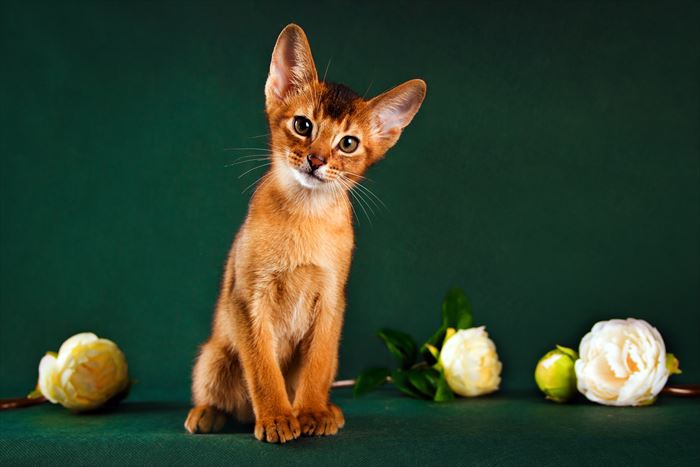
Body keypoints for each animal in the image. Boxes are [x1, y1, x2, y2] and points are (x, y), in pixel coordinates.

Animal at [186, 24, 424, 442]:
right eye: (303, 125)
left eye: (349, 143)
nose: (316, 160)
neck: (305, 216)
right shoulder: (248, 298)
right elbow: (264, 371)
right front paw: (278, 418)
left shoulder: (331, 300)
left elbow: (316, 365)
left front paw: (310, 412)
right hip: (214, 356)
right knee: (223, 394)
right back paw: (210, 414)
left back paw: (327, 410)